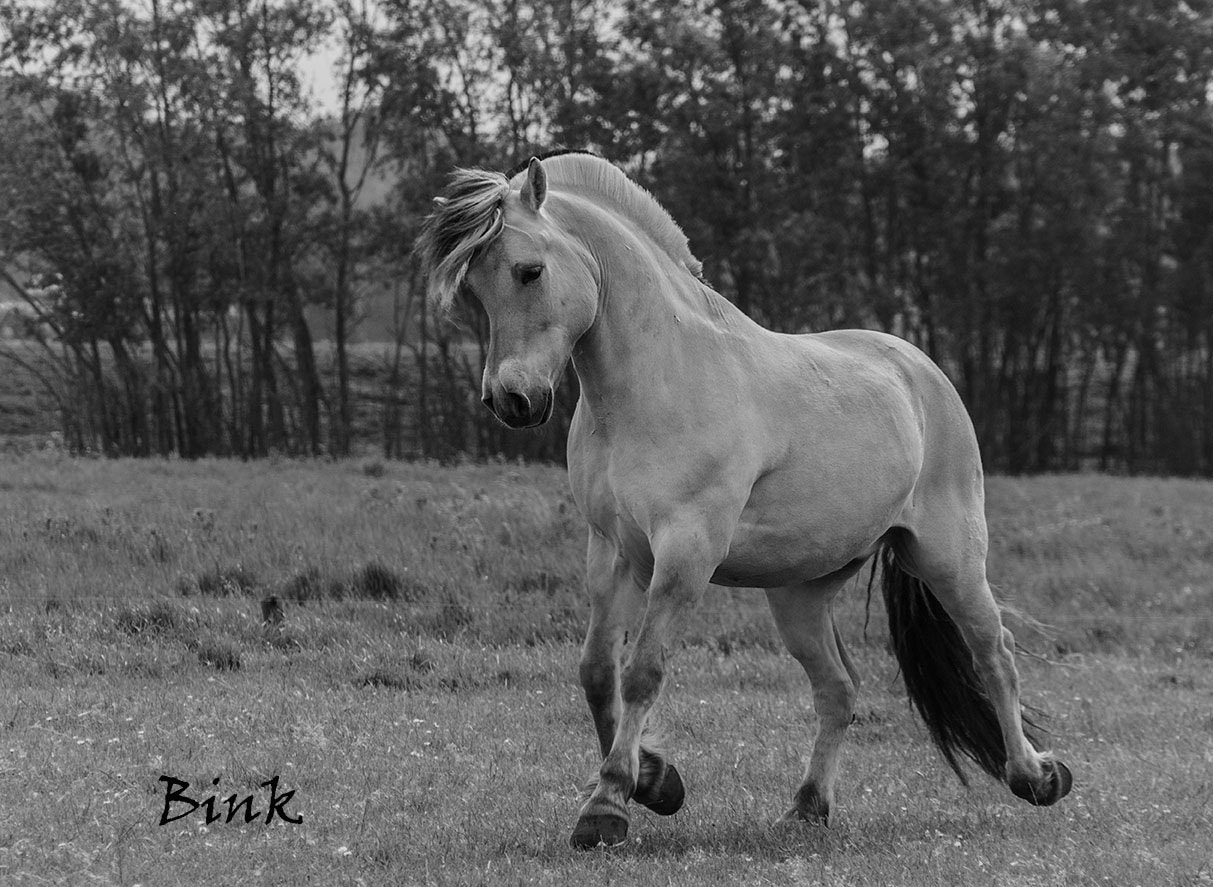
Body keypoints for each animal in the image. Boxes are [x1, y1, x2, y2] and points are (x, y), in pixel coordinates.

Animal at [417, 151, 1072, 844]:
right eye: (471, 292)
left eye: (528, 271)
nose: (511, 400)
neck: (657, 383)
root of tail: (921, 370)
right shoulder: (612, 552)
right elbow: (597, 672)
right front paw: (656, 781)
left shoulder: (686, 553)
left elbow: (643, 671)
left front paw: (609, 804)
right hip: (800, 594)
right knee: (838, 689)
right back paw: (807, 807)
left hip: (948, 559)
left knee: (994, 653)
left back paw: (1036, 777)